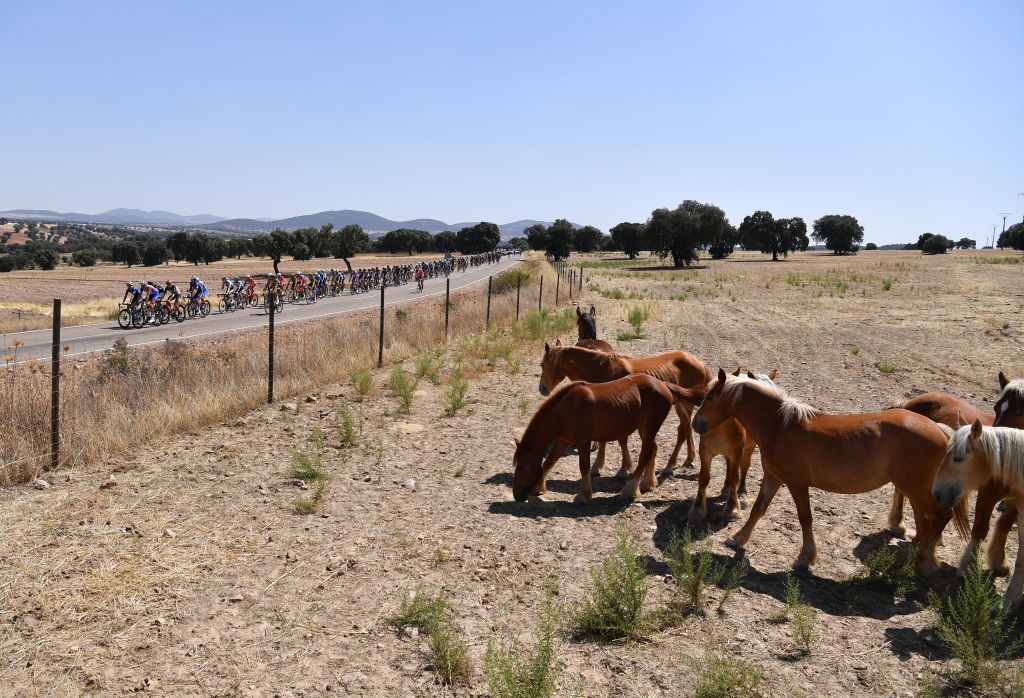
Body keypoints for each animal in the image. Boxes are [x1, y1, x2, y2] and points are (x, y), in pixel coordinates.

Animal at [511, 374, 706, 503]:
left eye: (520, 467)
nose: (517, 495)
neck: (565, 407)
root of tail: (663, 385)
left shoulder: (582, 441)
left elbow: (584, 467)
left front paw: (583, 495)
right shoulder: (564, 440)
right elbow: (549, 462)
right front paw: (539, 488)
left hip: (650, 427)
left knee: (645, 455)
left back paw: (629, 490)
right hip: (645, 429)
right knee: (653, 449)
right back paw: (647, 483)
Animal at [538, 344, 708, 486]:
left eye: (542, 364)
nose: (542, 388)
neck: (604, 370)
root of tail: (699, 363)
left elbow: (621, 440)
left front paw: (621, 470)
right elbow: (606, 440)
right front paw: (598, 467)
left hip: (685, 405)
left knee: (682, 430)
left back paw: (669, 466)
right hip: (682, 405)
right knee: (686, 429)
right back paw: (689, 458)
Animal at [688, 369, 969, 574]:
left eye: (710, 397)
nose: (696, 424)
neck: (781, 426)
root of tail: (940, 429)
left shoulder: (797, 483)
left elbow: (805, 518)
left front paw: (805, 558)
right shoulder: (773, 477)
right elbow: (759, 508)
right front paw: (738, 539)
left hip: (915, 488)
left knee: (940, 516)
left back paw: (926, 561)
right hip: (914, 489)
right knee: (927, 520)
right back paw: (920, 555)